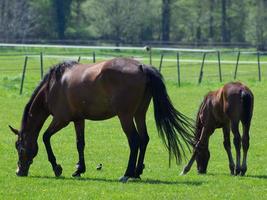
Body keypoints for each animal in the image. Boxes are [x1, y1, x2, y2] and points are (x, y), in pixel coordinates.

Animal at [8, 58, 195, 183]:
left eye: (19, 147)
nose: (19, 171)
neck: (53, 86)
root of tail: (141, 67)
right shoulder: (78, 120)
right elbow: (80, 144)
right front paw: (79, 169)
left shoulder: (62, 120)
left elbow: (45, 137)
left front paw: (57, 167)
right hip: (139, 114)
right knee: (144, 139)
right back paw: (137, 172)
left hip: (125, 116)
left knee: (134, 140)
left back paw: (127, 174)